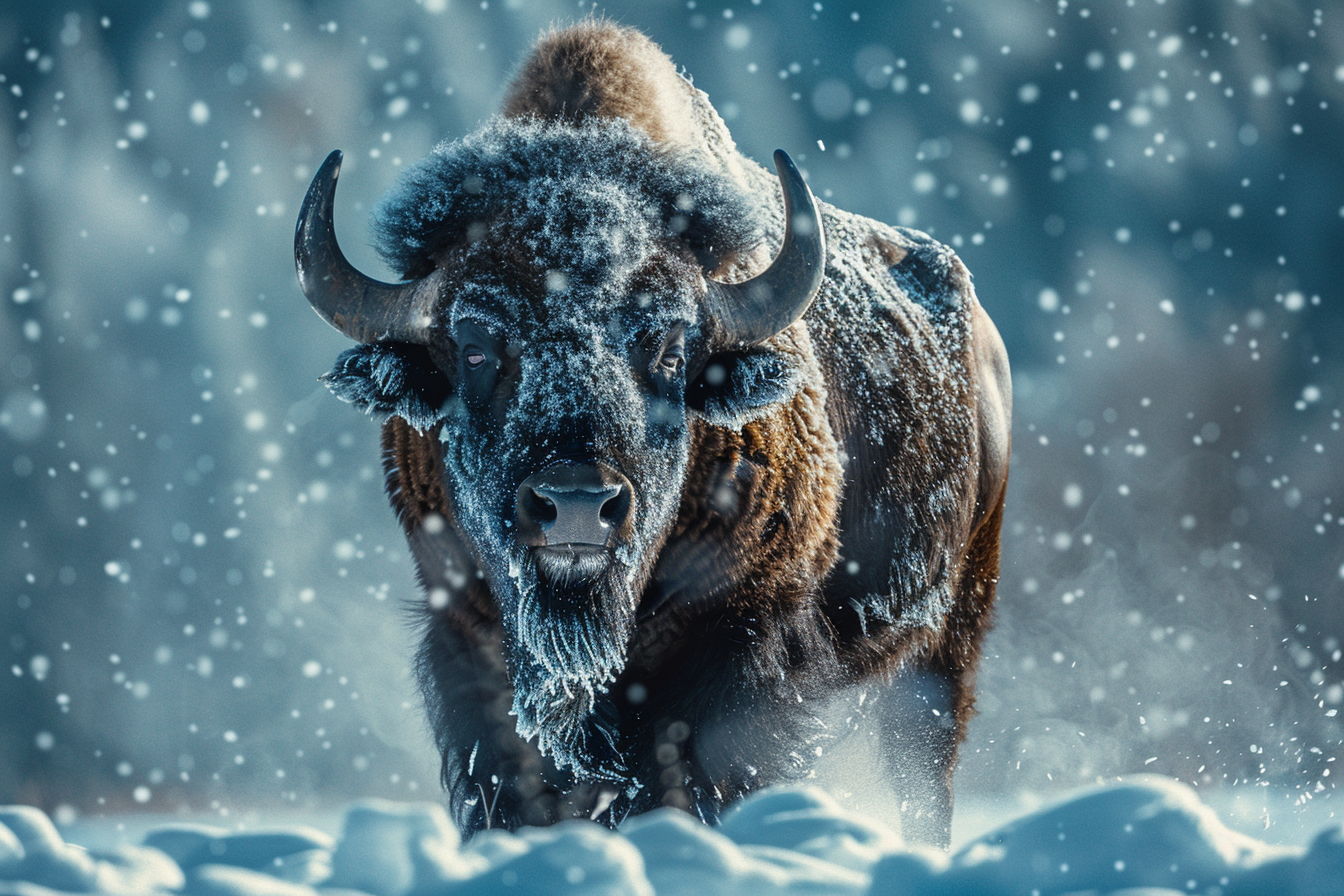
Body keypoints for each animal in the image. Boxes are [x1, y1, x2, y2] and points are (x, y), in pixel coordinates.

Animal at [295, 22, 1010, 845]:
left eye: (669, 348)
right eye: (474, 345)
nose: (576, 506)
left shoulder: (740, 641)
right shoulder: (468, 643)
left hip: (945, 640)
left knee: (923, 770)